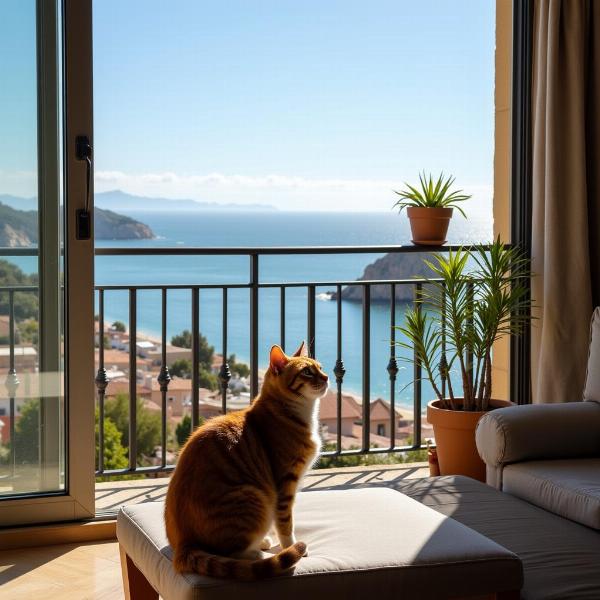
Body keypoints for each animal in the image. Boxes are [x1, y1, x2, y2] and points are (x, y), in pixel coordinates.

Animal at [164, 342, 328, 580]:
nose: (326, 377)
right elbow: (285, 523)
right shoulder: (285, 484)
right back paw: (258, 554)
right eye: (307, 371)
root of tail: (183, 545)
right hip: (254, 497)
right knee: (234, 553)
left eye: (320, 367)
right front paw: (290, 545)